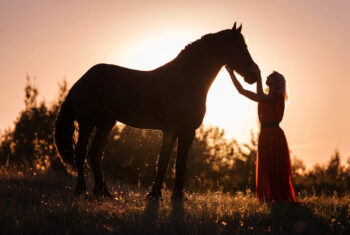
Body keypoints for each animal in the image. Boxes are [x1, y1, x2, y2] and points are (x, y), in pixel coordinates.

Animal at [54, 23, 258, 201]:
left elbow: (180, 163)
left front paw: (178, 196)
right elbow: (163, 162)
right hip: (87, 123)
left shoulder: (188, 132)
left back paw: (103, 193)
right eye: (240, 47)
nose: (253, 75)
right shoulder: (170, 130)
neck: (185, 81)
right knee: (81, 152)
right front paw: (154, 195)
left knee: (95, 154)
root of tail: (82, 80)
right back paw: (81, 190)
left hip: (106, 124)